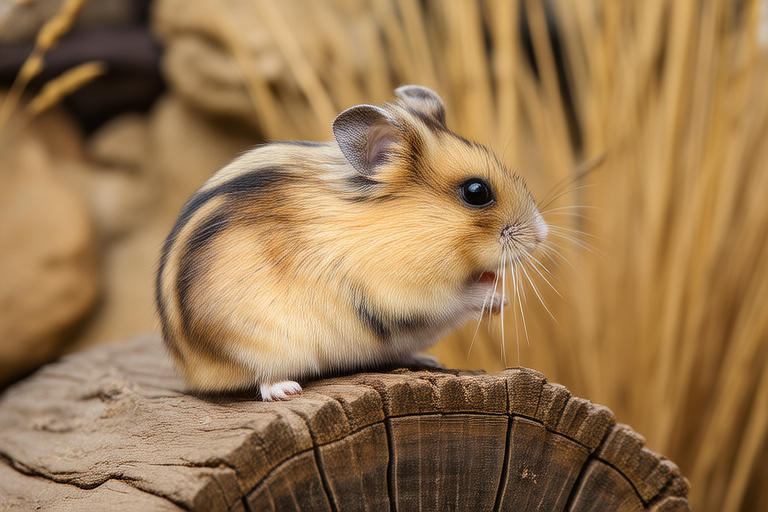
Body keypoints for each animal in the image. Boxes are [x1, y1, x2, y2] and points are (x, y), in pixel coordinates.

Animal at [156, 85, 548, 401]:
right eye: (476, 192)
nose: (542, 234)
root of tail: (190, 368)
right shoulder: (404, 293)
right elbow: (457, 297)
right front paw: (498, 297)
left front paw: (498, 290)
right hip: (258, 343)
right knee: (261, 377)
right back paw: (286, 390)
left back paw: (427, 359)